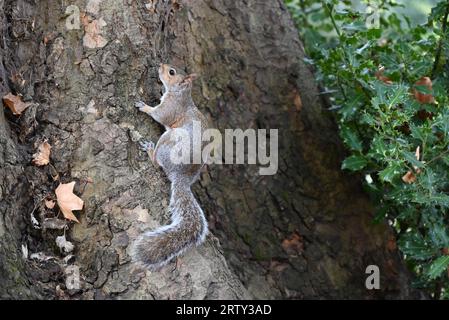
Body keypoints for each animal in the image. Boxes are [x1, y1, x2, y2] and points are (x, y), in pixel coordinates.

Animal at [132, 63, 209, 268]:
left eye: (171, 72)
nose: (160, 65)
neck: (180, 93)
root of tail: (183, 177)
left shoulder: (170, 108)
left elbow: (159, 115)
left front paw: (145, 107)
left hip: (168, 140)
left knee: (158, 164)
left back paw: (150, 151)